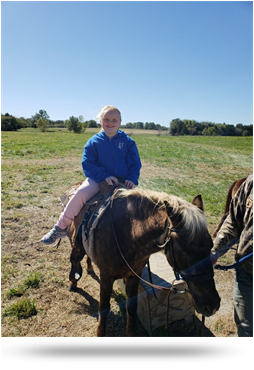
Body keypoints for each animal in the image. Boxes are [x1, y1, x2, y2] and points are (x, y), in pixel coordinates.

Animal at [69, 186, 220, 336]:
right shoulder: (106, 277)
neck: (127, 233)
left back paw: (89, 268)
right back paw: (73, 281)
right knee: (75, 259)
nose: (212, 305)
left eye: (211, 245)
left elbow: (131, 307)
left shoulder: (134, 275)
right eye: (183, 249)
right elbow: (104, 308)